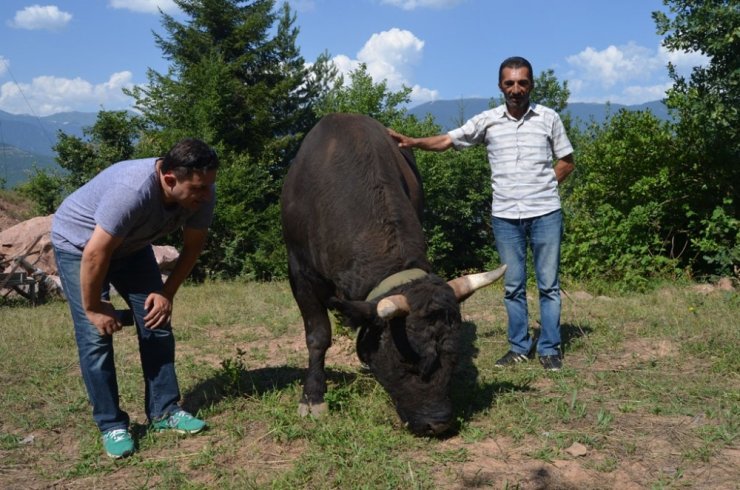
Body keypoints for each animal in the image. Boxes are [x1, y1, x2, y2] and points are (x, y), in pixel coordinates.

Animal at [280, 113, 506, 434]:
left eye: (453, 357)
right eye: (407, 363)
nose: (439, 423)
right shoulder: (299, 271)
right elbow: (317, 335)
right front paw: (313, 397)